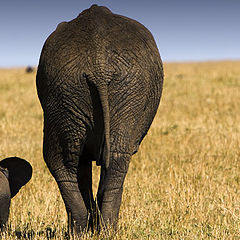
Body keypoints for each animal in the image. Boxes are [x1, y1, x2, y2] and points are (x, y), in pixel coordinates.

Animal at [36, 4, 163, 234]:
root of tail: (99, 66)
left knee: (70, 160)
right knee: (75, 160)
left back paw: (90, 230)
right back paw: (94, 229)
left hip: (74, 88)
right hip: (78, 88)